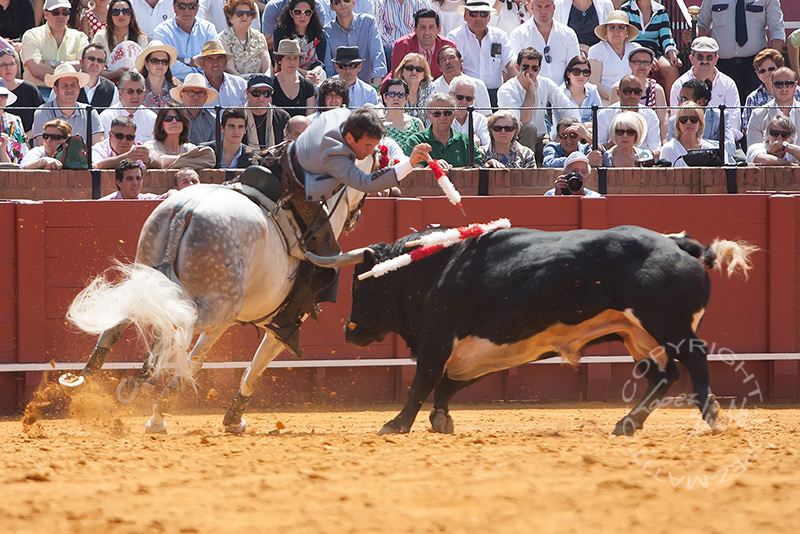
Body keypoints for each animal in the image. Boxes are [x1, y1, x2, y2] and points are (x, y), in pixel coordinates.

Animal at [310, 224, 752, 438]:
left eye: (361, 285)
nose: (349, 331)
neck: (434, 268)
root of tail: (677, 245)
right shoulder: (483, 351)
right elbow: (448, 384)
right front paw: (441, 419)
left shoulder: (438, 339)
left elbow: (422, 382)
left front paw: (396, 425)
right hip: (637, 335)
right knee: (664, 375)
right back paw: (627, 425)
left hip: (668, 326)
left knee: (696, 363)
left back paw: (712, 416)